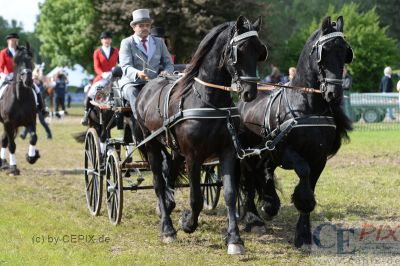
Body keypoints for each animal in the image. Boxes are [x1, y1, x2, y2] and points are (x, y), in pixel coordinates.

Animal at [0, 44, 40, 175]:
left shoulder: (31, 121)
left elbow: (33, 138)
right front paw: (13, 168)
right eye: (16, 61)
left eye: (30, 59)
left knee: (3, 140)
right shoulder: (8, 123)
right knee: (6, 141)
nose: (28, 80)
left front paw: (31, 157)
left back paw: (3, 163)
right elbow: (12, 145)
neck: (20, 97)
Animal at [136, 16, 268, 254]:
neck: (209, 101)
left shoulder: (228, 152)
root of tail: (149, 84)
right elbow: (196, 197)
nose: (249, 93)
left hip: (174, 148)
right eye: (240, 50)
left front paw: (235, 239)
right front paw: (187, 223)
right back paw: (167, 229)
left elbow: (230, 194)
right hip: (151, 143)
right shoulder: (193, 156)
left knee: (169, 174)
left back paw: (168, 206)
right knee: (159, 183)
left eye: (260, 51)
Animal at [238, 17, 354, 247]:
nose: (334, 93)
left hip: (265, 152)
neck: (307, 106)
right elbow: (303, 172)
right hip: (247, 154)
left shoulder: (319, 158)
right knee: (249, 180)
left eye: (345, 52)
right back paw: (254, 218)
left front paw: (303, 234)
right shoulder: (287, 153)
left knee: (264, 172)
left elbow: (311, 183)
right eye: (324, 52)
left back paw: (269, 203)